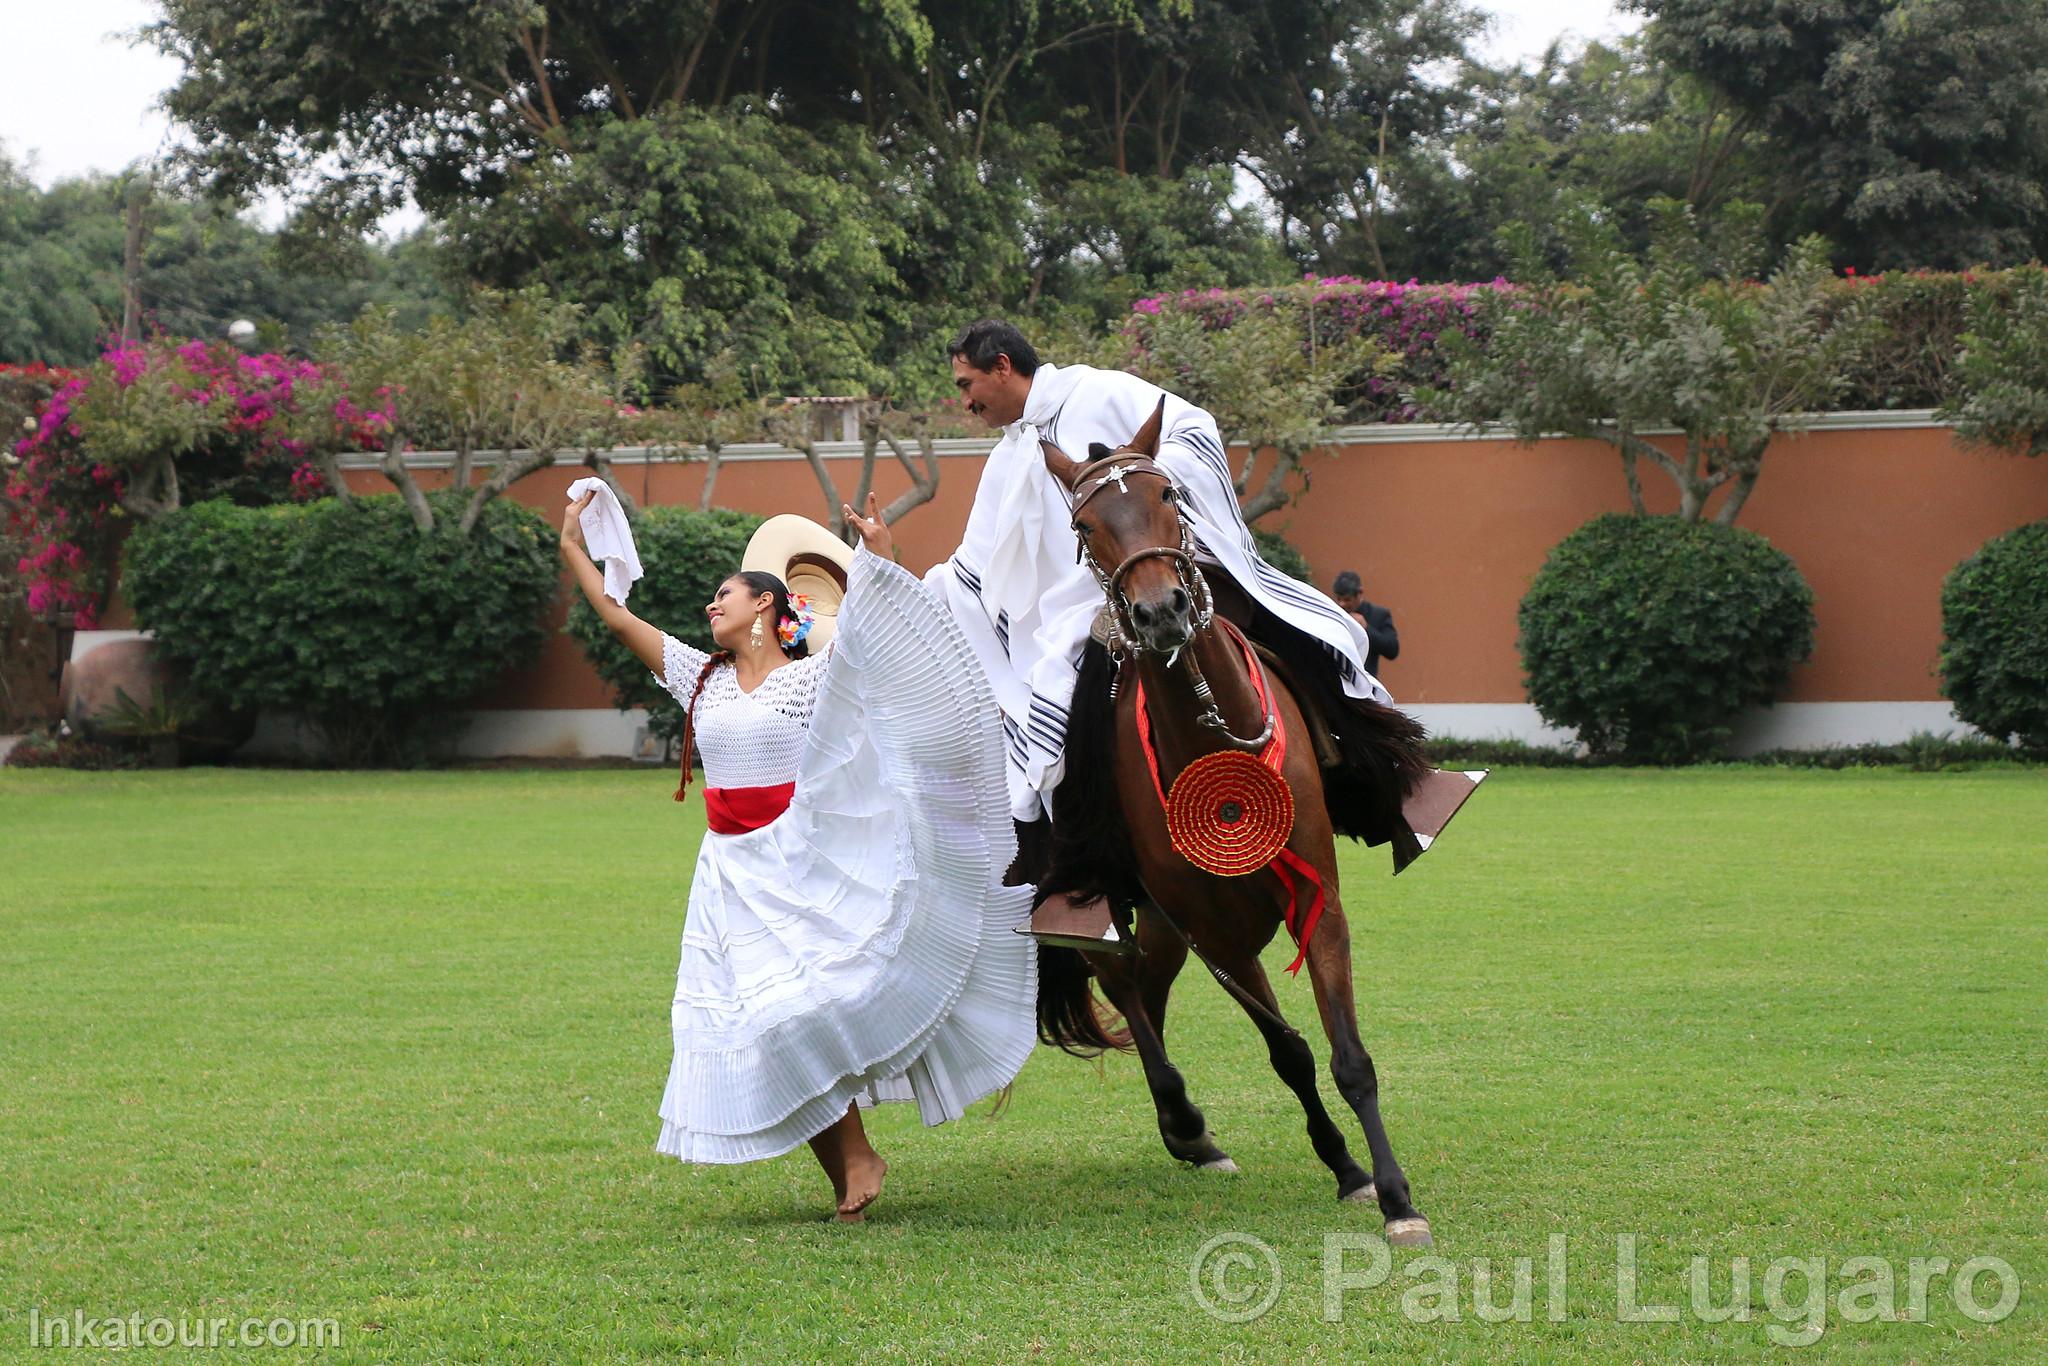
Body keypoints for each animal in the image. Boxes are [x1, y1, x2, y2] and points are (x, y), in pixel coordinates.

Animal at [1040, 397, 1425, 1253]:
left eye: (1169, 496)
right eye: (1084, 526)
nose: (1159, 612)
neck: (1210, 737)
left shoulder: (1317, 899)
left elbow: (1348, 1057)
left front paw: (1390, 1193)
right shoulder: (1214, 931)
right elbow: (1289, 1052)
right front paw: (1348, 1165)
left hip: (1164, 924)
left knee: (1144, 988)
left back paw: (1187, 1130)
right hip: (1138, 909)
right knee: (1126, 988)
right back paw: (1183, 1120)